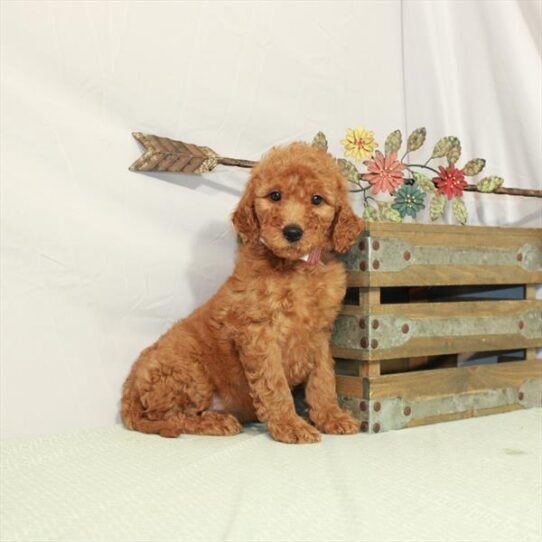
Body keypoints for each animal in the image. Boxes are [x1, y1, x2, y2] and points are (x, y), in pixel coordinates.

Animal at [121, 142, 364, 444]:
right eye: (275, 196)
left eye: (317, 199)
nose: (292, 232)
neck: (294, 268)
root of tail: (128, 388)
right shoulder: (259, 334)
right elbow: (275, 385)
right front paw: (290, 425)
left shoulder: (319, 334)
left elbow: (323, 380)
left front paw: (331, 417)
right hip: (188, 372)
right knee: (167, 417)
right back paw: (216, 422)